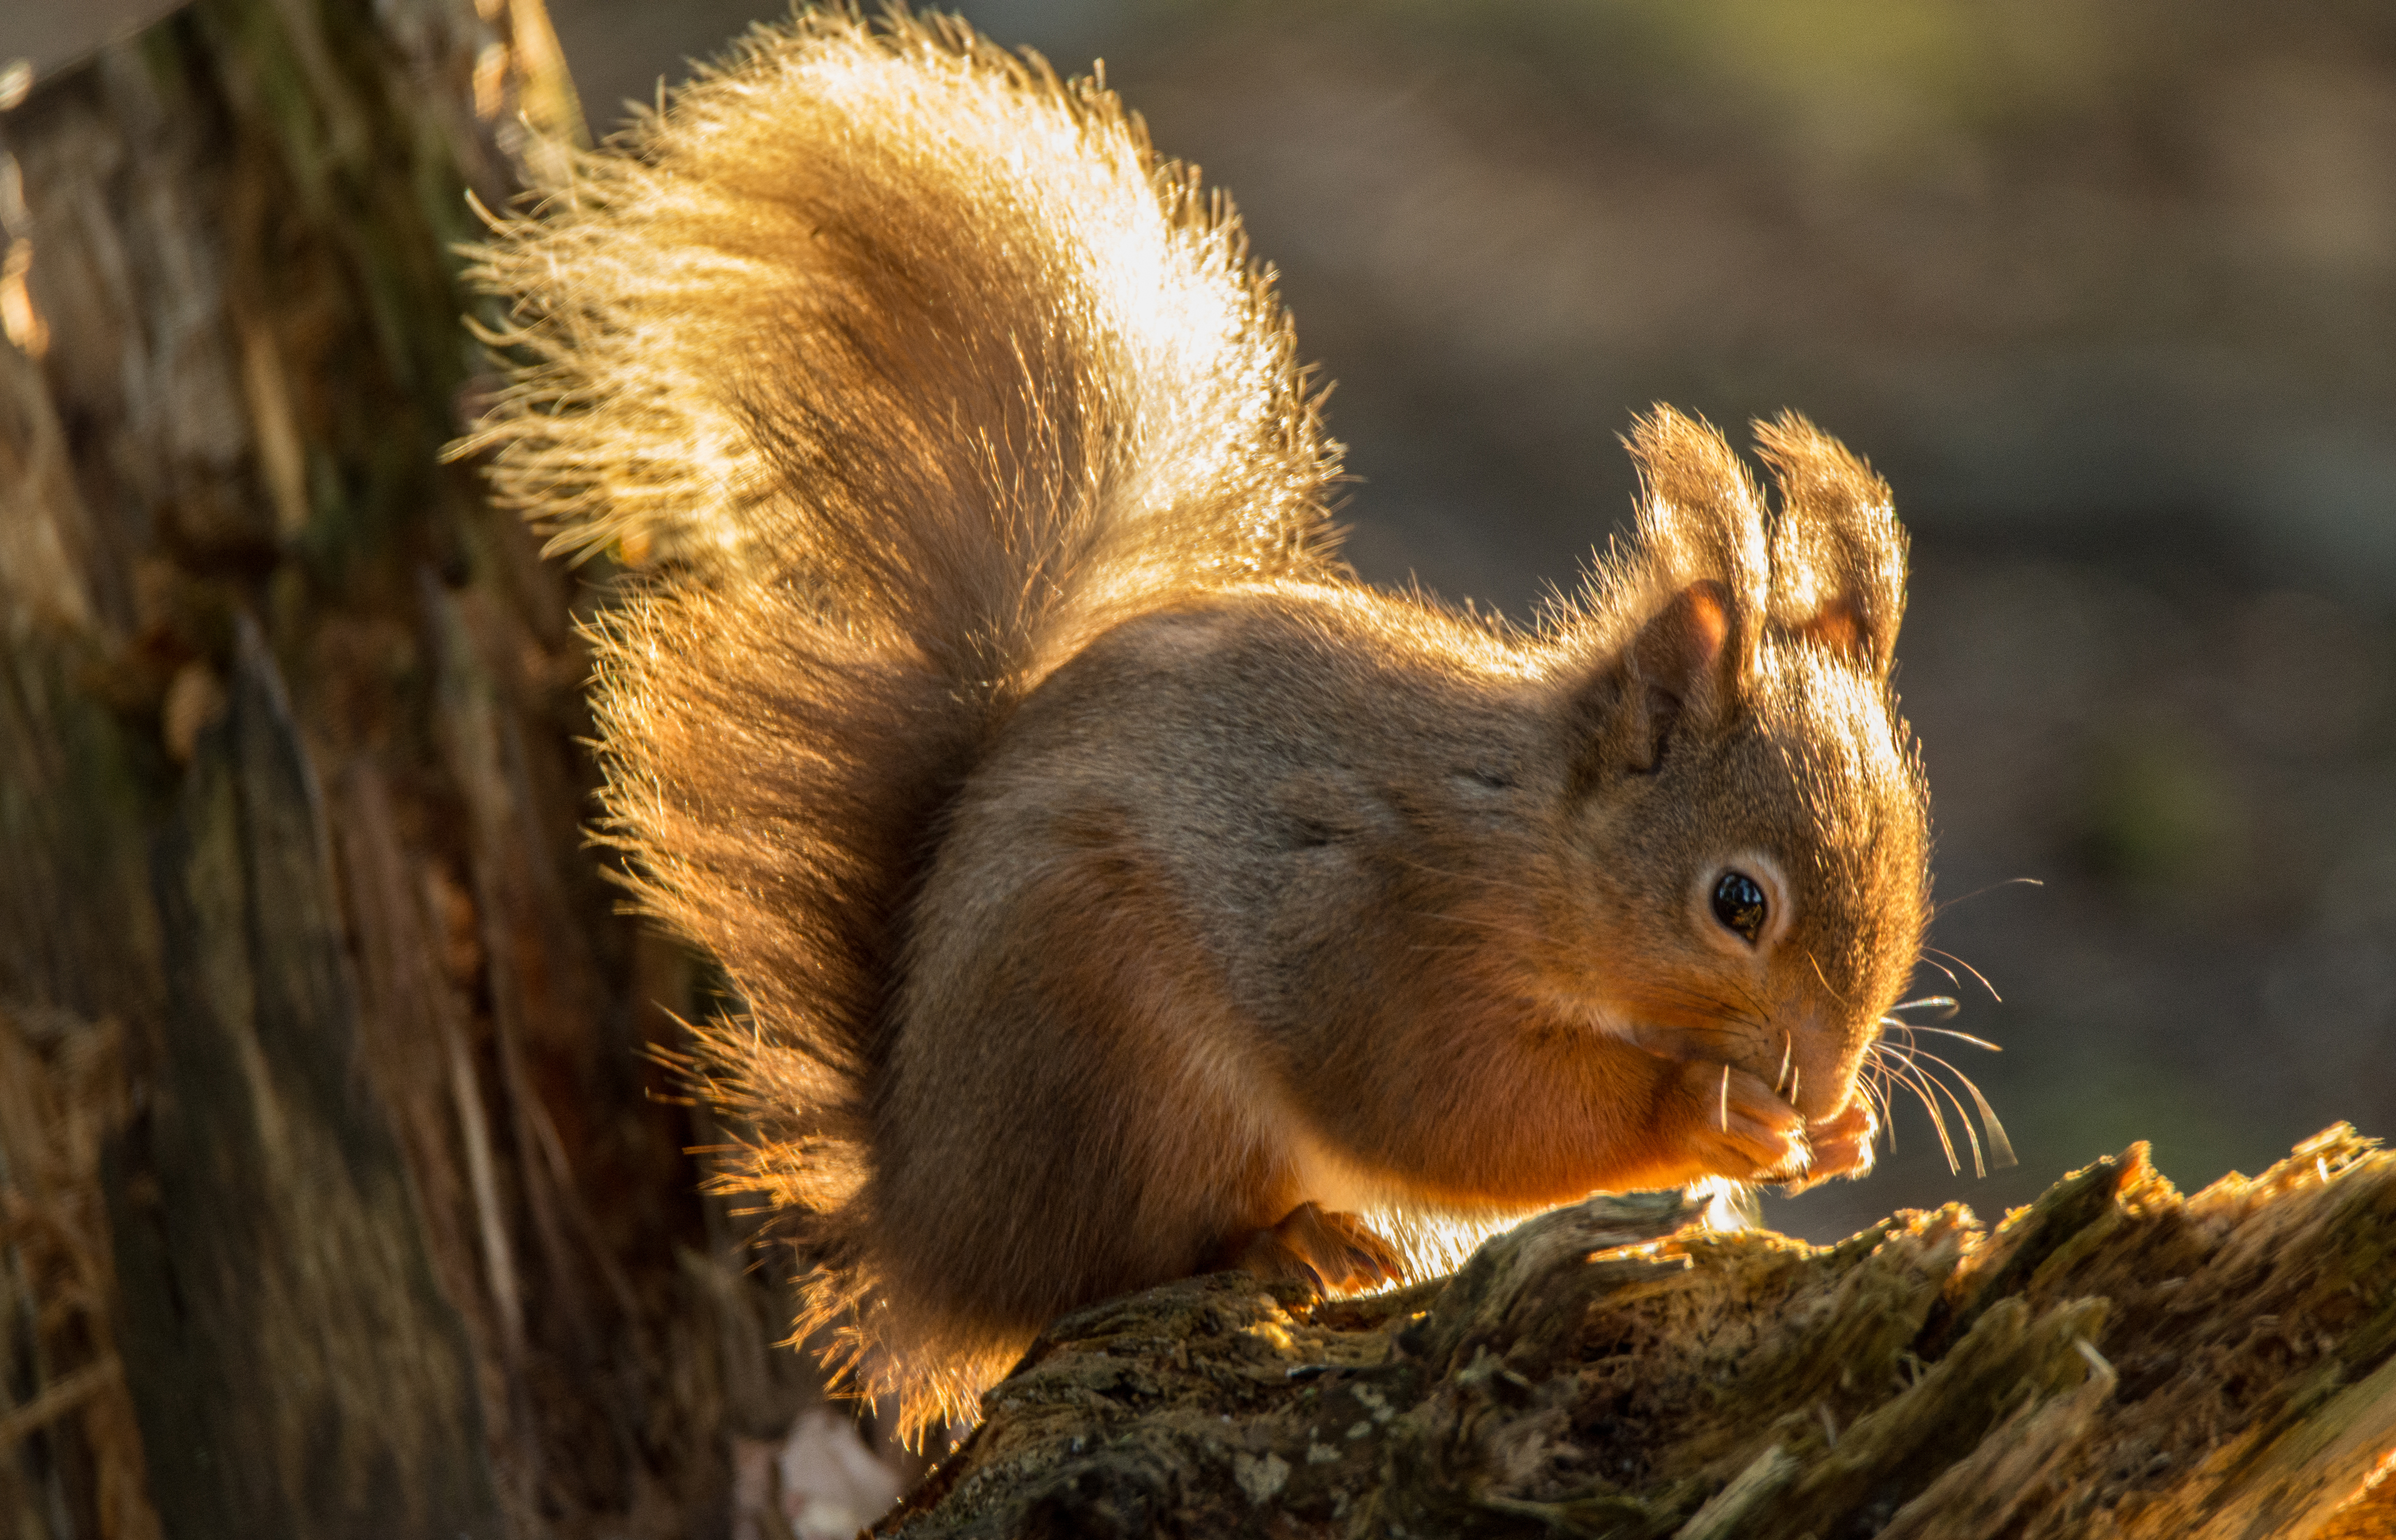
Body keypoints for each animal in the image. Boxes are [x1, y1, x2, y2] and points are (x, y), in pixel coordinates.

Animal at [462, 7, 1929, 1438]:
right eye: (1737, 903)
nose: (1816, 1077)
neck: (1524, 837)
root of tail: (926, 1222)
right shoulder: (1369, 926)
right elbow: (1452, 1109)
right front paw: (1709, 1112)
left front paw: (1843, 1133)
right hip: (1110, 1045)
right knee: (1110, 1264)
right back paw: (1285, 1243)